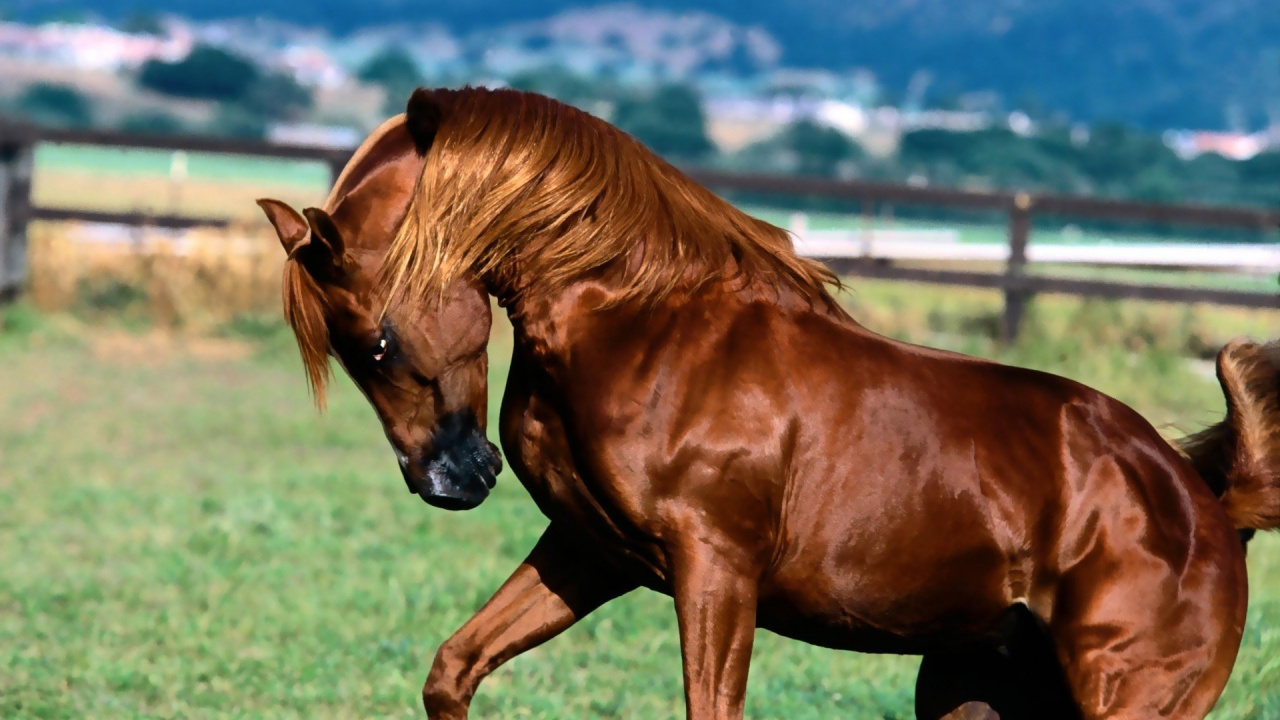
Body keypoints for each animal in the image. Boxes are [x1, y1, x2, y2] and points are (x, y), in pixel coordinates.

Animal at [256, 86, 1280, 720]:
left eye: (376, 342)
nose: (451, 480)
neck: (641, 324)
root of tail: (1207, 506)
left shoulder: (715, 569)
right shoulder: (592, 552)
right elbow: (454, 669)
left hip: (1121, 699)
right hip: (973, 690)